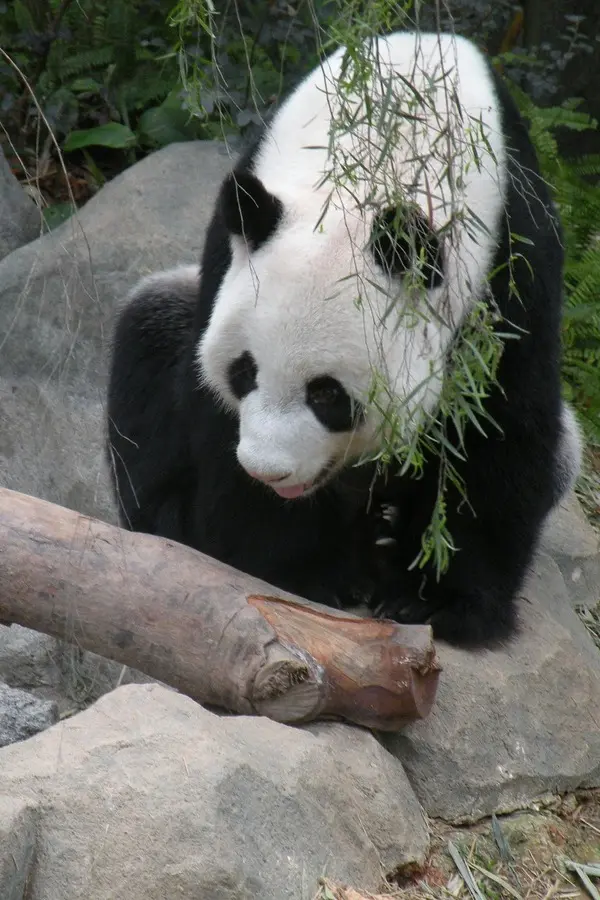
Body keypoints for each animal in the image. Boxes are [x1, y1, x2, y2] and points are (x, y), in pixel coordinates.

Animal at [106, 30, 582, 649]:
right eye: (244, 372)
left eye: (328, 394)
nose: (269, 472)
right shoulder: (232, 240)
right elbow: (208, 408)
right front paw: (303, 571)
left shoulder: (511, 260)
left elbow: (494, 428)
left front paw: (433, 600)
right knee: (149, 332)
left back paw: (385, 532)